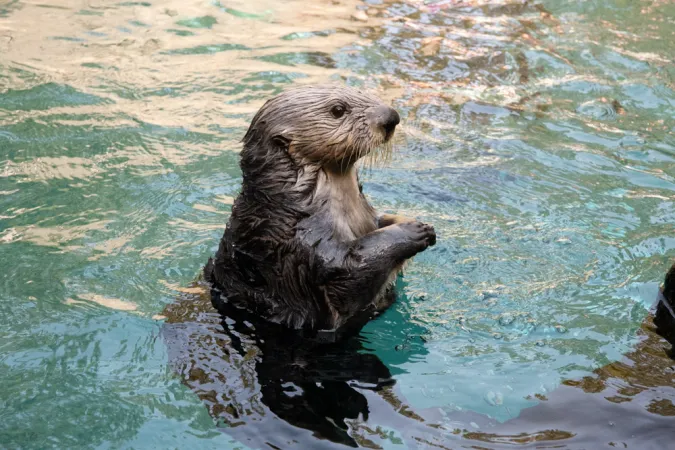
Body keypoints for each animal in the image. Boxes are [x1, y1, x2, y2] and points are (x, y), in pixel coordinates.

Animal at [204, 85, 436, 333]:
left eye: (362, 92)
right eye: (338, 110)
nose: (391, 117)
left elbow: (379, 222)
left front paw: (412, 221)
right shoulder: (308, 244)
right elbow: (352, 271)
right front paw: (414, 231)